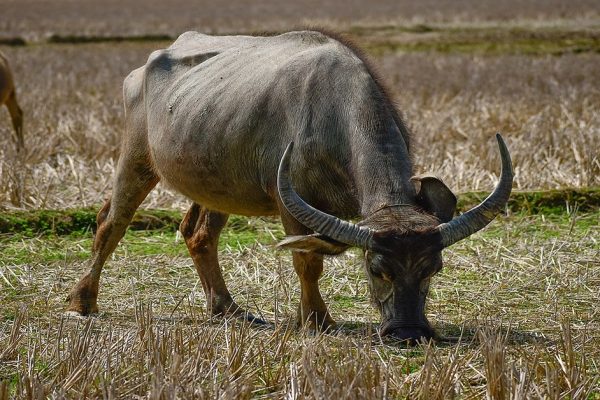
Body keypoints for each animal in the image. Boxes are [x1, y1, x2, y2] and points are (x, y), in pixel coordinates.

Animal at [68, 30, 512, 340]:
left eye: (433, 268)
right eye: (377, 269)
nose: (408, 333)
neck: (333, 114)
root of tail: (143, 68)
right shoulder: (290, 200)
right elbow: (308, 261)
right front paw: (316, 319)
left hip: (217, 184)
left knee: (197, 234)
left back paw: (227, 309)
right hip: (136, 158)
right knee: (112, 222)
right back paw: (82, 300)